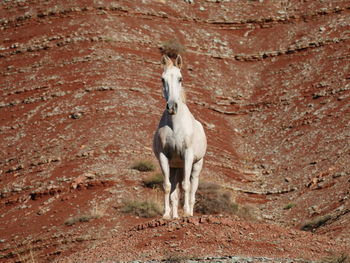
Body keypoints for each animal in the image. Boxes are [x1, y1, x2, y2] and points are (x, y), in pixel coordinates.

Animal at [154, 54, 208, 220]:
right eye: (162, 79)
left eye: (180, 78)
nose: (172, 107)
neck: (175, 127)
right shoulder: (164, 156)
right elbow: (167, 187)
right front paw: (166, 214)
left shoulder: (188, 155)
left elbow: (186, 186)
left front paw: (186, 213)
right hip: (176, 167)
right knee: (174, 191)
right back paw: (175, 216)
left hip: (196, 165)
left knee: (192, 189)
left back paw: (189, 212)